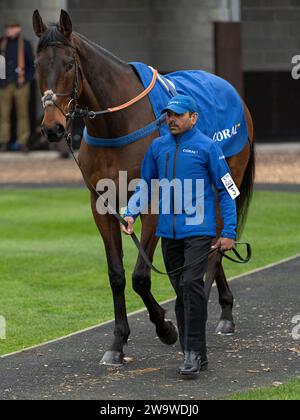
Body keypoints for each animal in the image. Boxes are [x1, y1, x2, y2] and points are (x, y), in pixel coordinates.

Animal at [31, 9, 254, 364]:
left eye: (68, 63)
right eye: (37, 64)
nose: (52, 128)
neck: (117, 125)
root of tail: (227, 87)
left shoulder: (153, 203)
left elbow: (139, 276)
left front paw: (166, 327)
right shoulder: (101, 207)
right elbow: (117, 275)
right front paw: (117, 342)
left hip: (224, 178)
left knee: (216, 244)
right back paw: (224, 309)